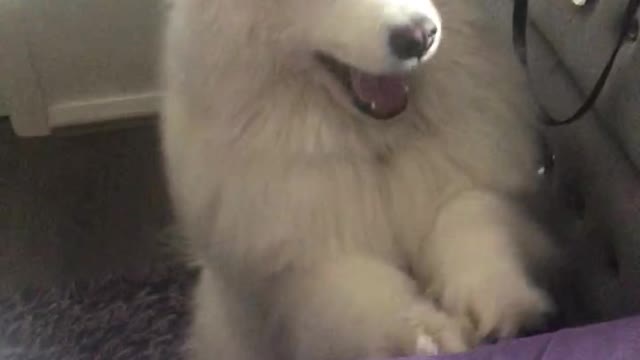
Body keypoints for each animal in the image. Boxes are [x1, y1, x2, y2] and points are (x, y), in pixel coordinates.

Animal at [161, 0, 556, 360]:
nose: (420, 37)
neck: (376, 145)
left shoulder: (468, 184)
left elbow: (472, 223)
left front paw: (503, 302)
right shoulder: (305, 257)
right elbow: (363, 291)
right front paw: (426, 335)